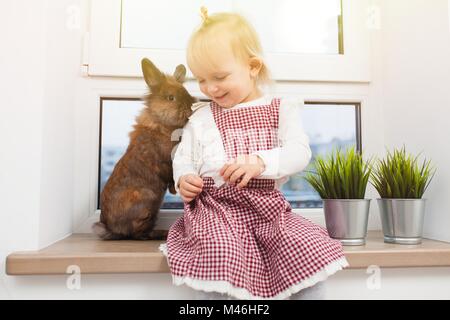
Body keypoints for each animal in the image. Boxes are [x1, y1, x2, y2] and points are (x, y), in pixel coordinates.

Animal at [92, 58, 195, 240]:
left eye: (186, 92)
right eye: (170, 97)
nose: (191, 106)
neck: (162, 124)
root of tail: (112, 229)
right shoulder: (166, 159)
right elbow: (170, 173)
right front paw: (174, 190)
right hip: (147, 203)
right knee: (138, 234)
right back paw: (161, 233)